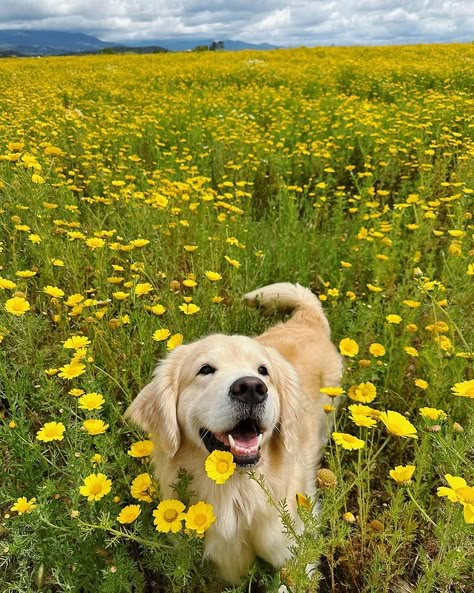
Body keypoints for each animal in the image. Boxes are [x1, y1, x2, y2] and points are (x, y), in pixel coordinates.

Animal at [126, 282, 340, 584]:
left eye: (263, 370)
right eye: (205, 369)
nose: (251, 388)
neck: (237, 493)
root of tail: (306, 319)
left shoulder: (295, 551)